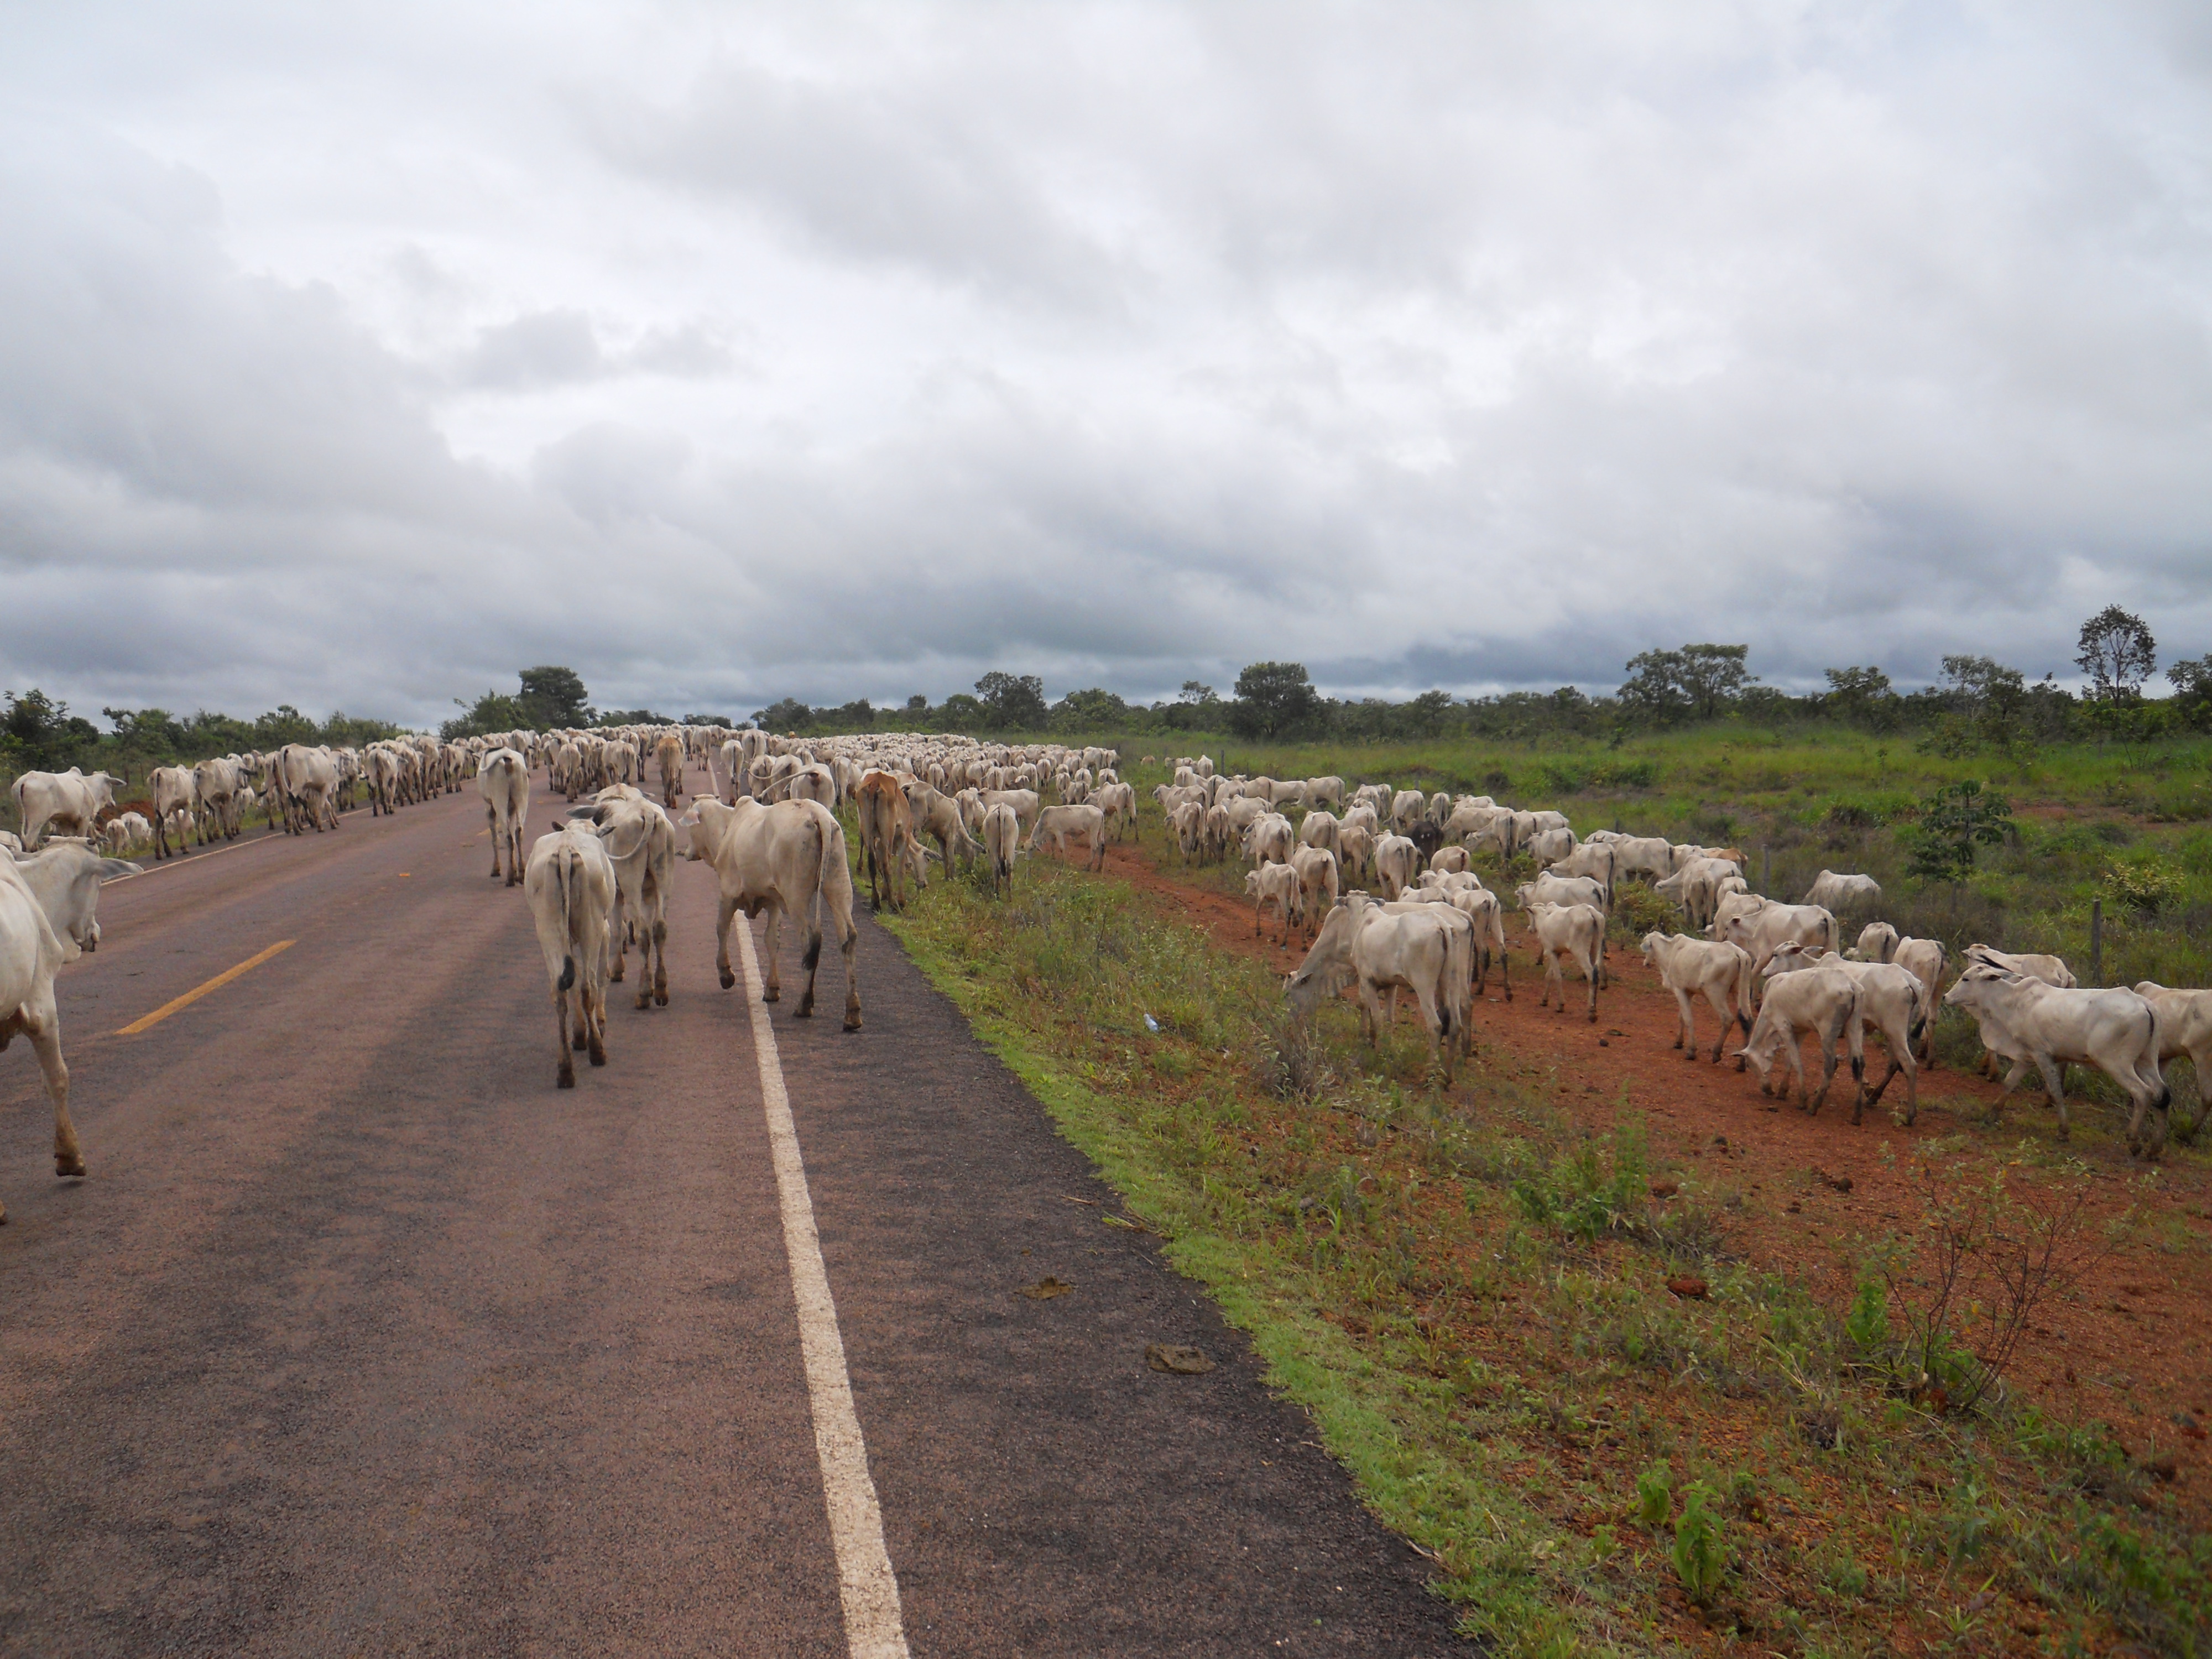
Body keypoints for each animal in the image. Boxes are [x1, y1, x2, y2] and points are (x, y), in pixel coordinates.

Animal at [477, 747, 531, 887]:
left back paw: (510, 877)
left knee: (508, 837)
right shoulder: (512, 808)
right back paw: (521, 873)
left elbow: (495, 839)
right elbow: (513, 831)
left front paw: (496, 869)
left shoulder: (489, 809)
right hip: (522, 800)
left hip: (499, 801)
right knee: (518, 832)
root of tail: (507, 756)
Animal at [524, 826, 617, 1087]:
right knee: (588, 987)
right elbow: (602, 975)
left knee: (560, 990)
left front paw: (578, 1033)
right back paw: (597, 1051)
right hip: (591, 926)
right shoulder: (604, 930)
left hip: (546, 928)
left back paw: (565, 1069)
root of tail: (565, 849)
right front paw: (598, 1026)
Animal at [681, 797, 862, 1029]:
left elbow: (722, 929)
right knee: (848, 937)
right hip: (837, 882)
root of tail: (816, 813)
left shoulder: (728, 893)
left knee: (810, 940)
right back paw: (852, 1014)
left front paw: (726, 975)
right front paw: (772, 988)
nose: (686, 852)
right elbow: (771, 940)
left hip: (796, 895)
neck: (729, 828)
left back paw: (804, 1004)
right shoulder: (774, 902)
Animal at [1641, 932, 1755, 1064]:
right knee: (1747, 1021)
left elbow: (1688, 1019)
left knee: (1728, 1019)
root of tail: (1738, 952)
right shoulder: (1689, 992)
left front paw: (1691, 1051)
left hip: (1715, 994)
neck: (1671, 951)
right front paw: (1678, 1042)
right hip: (1741, 991)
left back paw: (1716, 1052)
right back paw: (1741, 1064)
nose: (1646, 963)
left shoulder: (1679, 990)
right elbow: (1681, 1017)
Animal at [1944, 969, 2167, 1152]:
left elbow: (2056, 1091)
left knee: (2143, 1093)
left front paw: (2063, 1131)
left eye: (1966, 979)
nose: (1946, 997)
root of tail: (2145, 1004)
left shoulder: (2042, 1055)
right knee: (2162, 1094)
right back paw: (2155, 1148)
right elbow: (2009, 1083)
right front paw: (1992, 1114)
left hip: (2116, 1064)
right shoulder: (2027, 1057)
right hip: (2146, 1061)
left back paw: (2134, 1140)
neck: (2012, 1002)